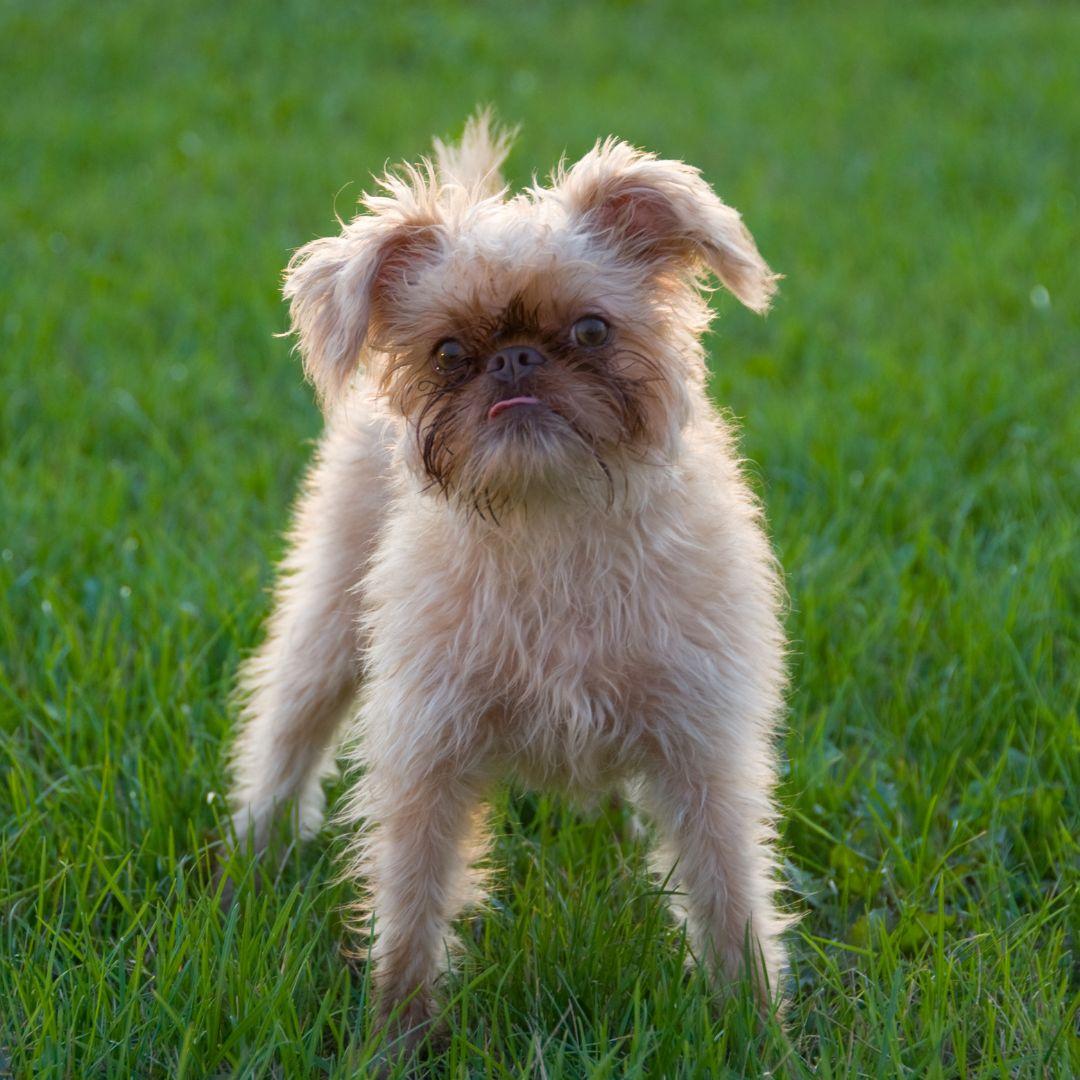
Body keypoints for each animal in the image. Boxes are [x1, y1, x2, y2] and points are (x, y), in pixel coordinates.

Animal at [227, 111, 790, 1045]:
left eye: (592, 331)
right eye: (450, 351)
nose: (516, 360)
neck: (549, 521)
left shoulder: (704, 749)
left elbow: (728, 891)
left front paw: (754, 1025)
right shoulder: (427, 751)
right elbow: (412, 902)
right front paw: (397, 1034)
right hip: (329, 622)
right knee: (288, 727)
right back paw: (255, 850)